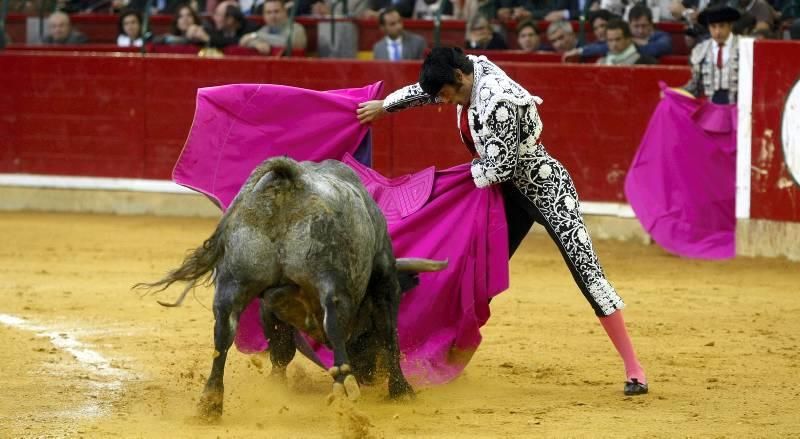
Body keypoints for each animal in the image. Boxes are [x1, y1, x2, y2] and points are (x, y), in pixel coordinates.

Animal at [135, 157, 446, 420]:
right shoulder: (385, 282)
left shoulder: (265, 303)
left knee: (224, 333)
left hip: (234, 280)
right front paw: (401, 391)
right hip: (328, 274)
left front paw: (277, 387)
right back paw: (344, 384)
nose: (370, 375)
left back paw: (210, 404)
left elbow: (280, 347)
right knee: (334, 320)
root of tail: (290, 181)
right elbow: (389, 333)